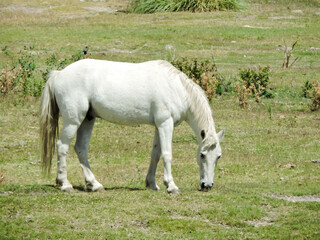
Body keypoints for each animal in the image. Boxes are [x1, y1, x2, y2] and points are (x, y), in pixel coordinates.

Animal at [40, 59, 224, 194]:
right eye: (202, 155)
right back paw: (65, 184)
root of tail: (60, 74)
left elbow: (155, 154)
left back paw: (94, 184)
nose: (207, 185)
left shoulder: (159, 126)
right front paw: (171, 186)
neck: (176, 88)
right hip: (73, 121)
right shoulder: (166, 123)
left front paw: (152, 184)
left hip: (87, 119)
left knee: (81, 149)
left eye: (218, 156)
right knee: (62, 146)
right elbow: (167, 154)